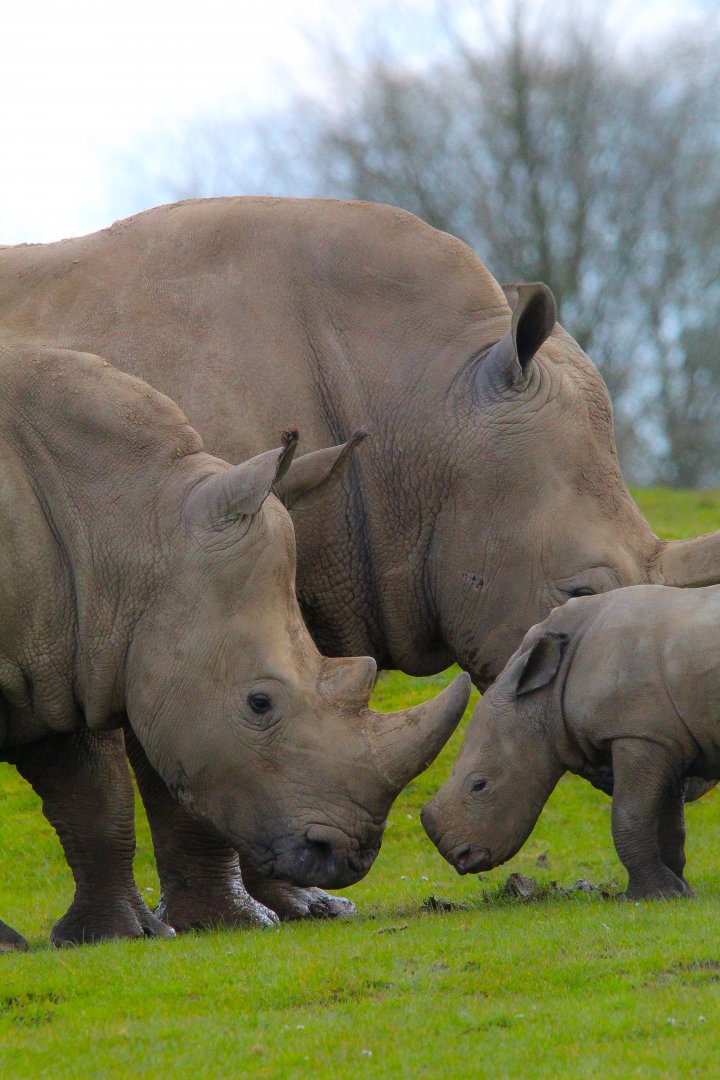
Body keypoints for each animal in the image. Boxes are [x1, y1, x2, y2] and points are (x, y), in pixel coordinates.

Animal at [0, 341, 469, 950]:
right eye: (259, 703)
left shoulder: (55, 649)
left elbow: (91, 790)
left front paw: (117, 935)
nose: (345, 856)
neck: (122, 520)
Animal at [422, 584, 720, 900]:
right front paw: (680, 892)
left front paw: (652, 895)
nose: (460, 857)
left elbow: (628, 814)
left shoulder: (638, 734)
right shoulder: (665, 737)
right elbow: (669, 823)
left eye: (480, 785)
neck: (544, 698)